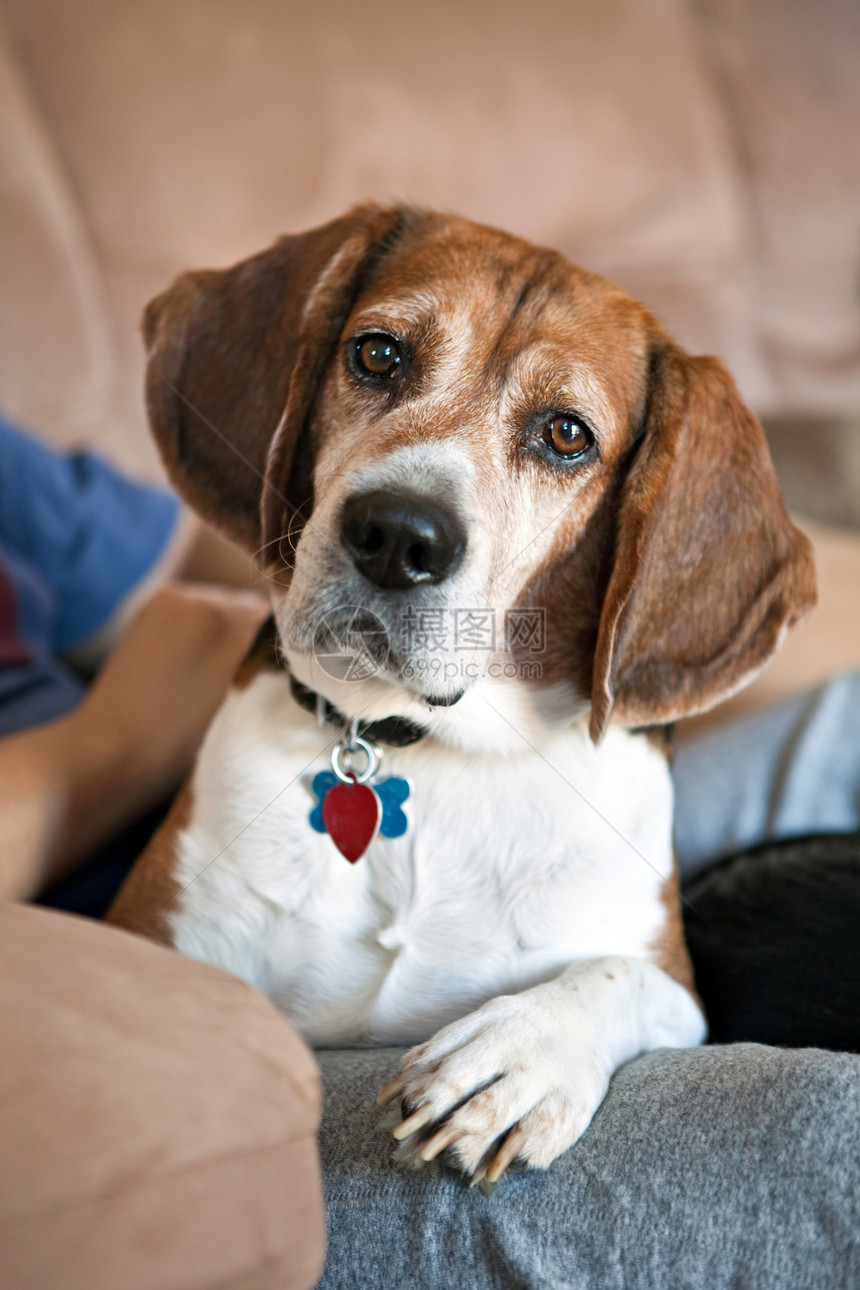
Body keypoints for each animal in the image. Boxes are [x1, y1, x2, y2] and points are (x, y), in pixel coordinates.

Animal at [107, 203, 814, 1186]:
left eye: (566, 435)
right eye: (377, 355)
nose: (398, 535)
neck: (431, 750)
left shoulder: (673, 980)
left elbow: (616, 977)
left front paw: (516, 1058)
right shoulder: (152, 939)